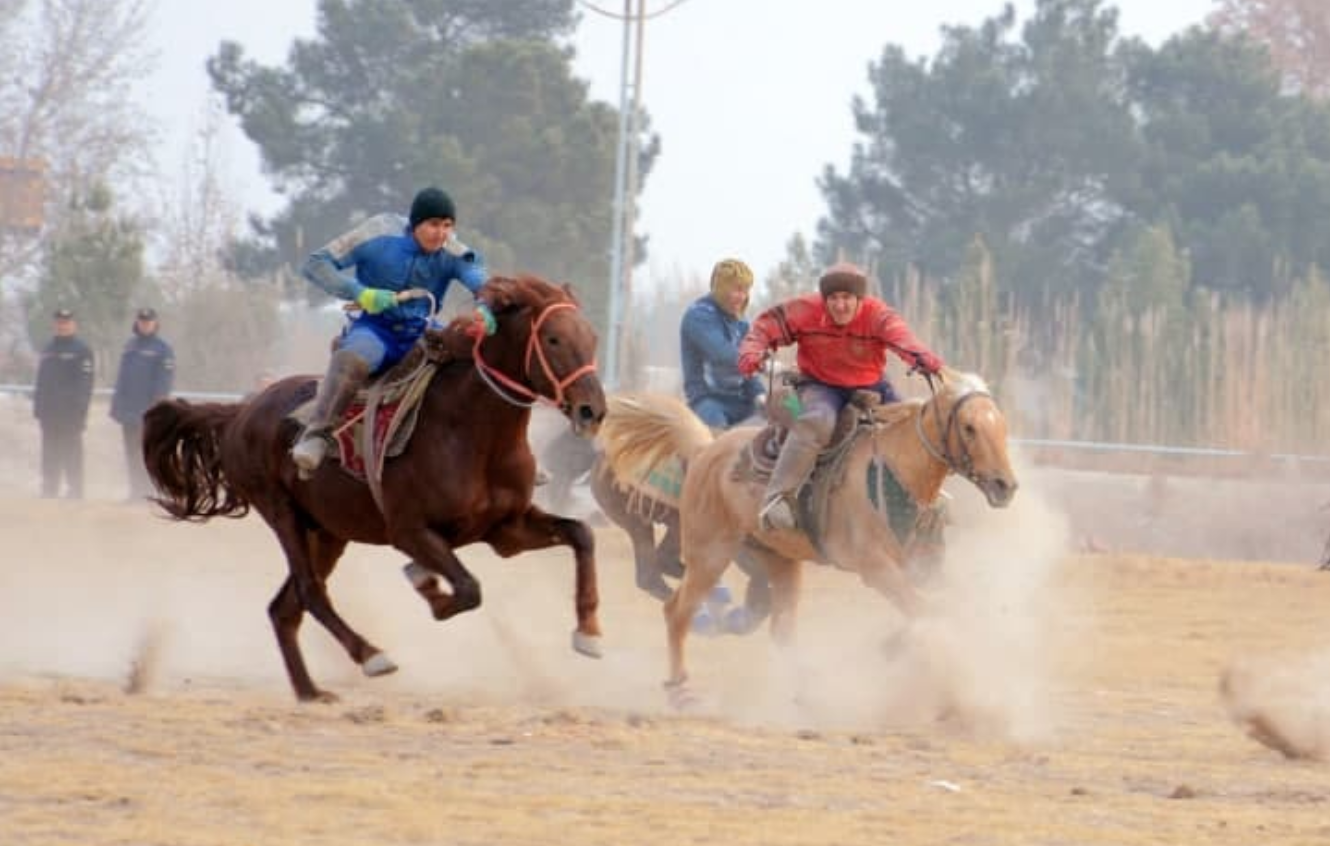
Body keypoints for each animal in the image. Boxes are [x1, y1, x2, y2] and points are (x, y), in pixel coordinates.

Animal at [141, 275, 609, 702]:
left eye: (591, 337)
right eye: (552, 338)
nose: (593, 410)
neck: (471, 433)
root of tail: (240, 412)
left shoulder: (505, 530)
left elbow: (581, 534)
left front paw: (589, 633)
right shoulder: (409, 531)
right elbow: (467, 588)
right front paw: (429, 590)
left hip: (327, 532)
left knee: (283, 609)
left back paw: (310, 691)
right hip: (282, 513)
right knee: (310, 592)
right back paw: (370, 655)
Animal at [598, 367, 1010, 697]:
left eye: (1002, 426)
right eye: (969, 427)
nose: (1006, 485)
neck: (897, 470)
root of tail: (703, 451)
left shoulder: (922, 569)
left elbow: (936, 608)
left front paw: (895, 646)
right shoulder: (876, 569)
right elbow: (926, 611)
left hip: (778, 560)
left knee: (781, 629)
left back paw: (805, 694)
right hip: (710, 553)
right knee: (676, 608)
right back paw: (680, 688)